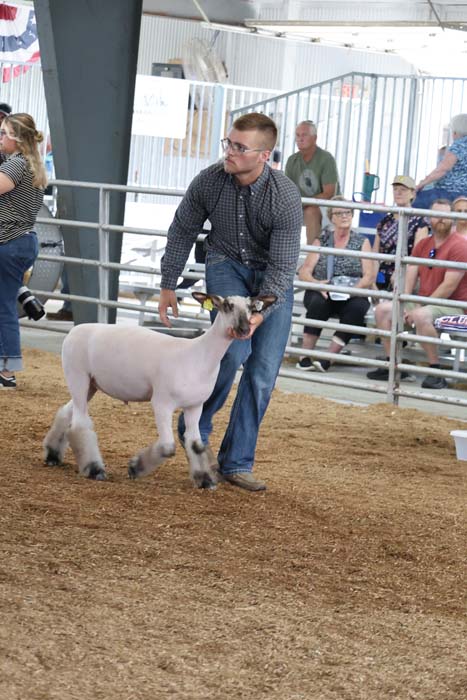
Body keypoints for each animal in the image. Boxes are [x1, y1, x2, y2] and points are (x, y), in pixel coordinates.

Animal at [43, 291, 277, 488]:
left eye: (252, 308)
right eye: (227, 306)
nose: (244, 330)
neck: (199, 355)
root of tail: (74, 330)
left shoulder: (195, 406)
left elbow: (195, 444)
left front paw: (204, 480)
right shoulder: (162, 402)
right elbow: (167, 446)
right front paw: (136, 467)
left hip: (91, 384)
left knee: (66, 412)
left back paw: (52, 455)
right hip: (78, 375)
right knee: (79, 423)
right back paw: (94, 469)